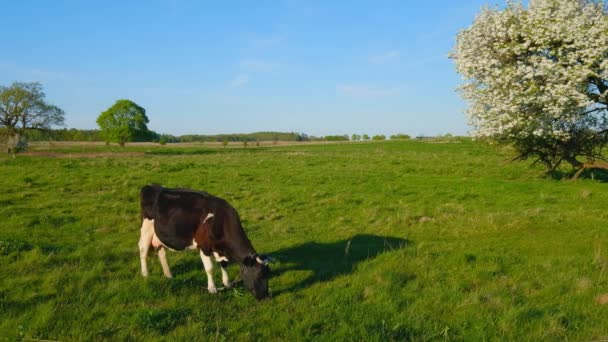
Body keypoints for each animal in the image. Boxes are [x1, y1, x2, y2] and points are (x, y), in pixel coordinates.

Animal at [139, 184, 272, 300]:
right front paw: (212, 289)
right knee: (143, 250)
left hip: (159, 235)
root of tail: (151, 186)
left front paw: (227, 283)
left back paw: (168, 275)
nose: (265, 296)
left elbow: (224, 264)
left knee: (161, 252)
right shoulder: (203, 246)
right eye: (258, 276)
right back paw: (145, 274)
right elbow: (210, 268)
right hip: (147, 228)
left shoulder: (220, 249)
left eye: (267, 275)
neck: (220, 219)